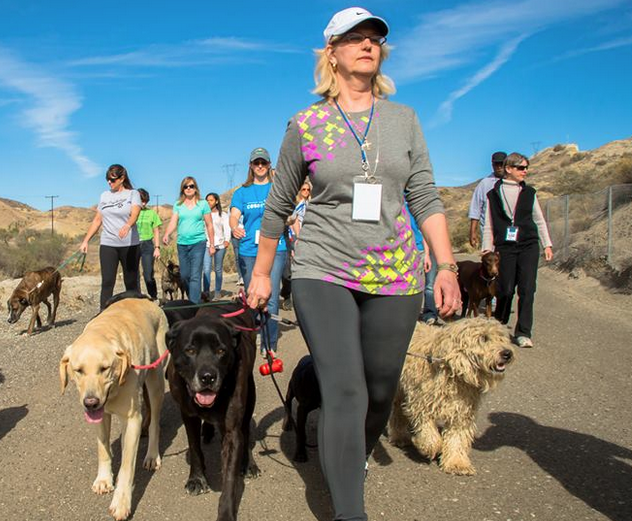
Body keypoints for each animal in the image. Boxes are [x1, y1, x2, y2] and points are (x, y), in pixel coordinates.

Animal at [58, 296, 168, 520]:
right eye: (78, 370)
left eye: (104, 368)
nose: (91, 402)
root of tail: (152, 302)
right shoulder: (101, 418)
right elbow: (103, 449)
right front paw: (103, 479)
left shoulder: (133, 418)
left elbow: (126, 466)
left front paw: (121, 502)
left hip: (156, 381)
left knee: (154, 422)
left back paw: (152, 455)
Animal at [167, 300, 260, 520]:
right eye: (190, 350)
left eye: (221, 351)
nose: (208, 377)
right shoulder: (188, 415)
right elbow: (194, 448)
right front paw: (196, 479)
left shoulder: (231, 432)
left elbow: (229, 478)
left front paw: (225, 513)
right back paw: (208, 431)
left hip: (250, 396)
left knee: (246, 431)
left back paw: (249, 464)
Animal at [388, 316, 516, 476]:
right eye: (484, 338)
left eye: (502, 338)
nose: (507, 353)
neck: (454, 372)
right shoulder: (420, 403)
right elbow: (430, 434)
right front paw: (426, 446)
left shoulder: (461, 413)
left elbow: (457, 439)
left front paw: (457, 463)